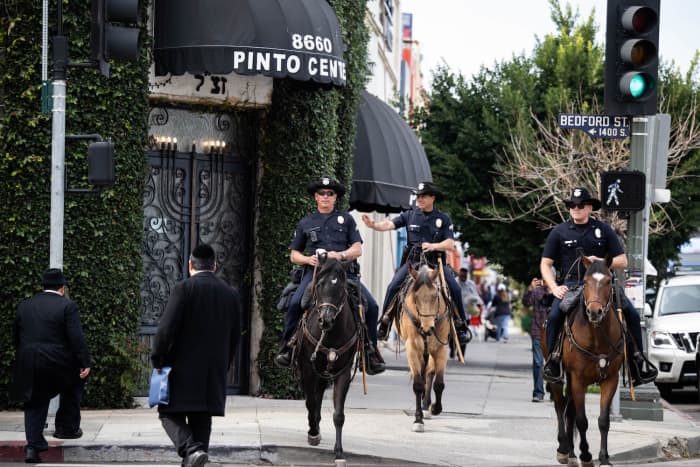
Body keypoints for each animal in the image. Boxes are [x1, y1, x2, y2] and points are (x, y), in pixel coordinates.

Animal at [296, 254, 360, 466]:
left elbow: (338, 414)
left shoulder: (343, 372)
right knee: (313, 398)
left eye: (341, 287)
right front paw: (313, 433)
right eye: (319, 284)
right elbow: (310, 401)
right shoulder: (307, 368)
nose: (326, 320)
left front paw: (339, 451)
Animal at [396, 266, 452, 434]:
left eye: (435, 296)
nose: (427, 328)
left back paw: (427, 406)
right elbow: (418, 384)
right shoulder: (412, 349)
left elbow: (439, 383)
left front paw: (435, 408)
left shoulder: (441, 349)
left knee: (429, 373)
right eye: (416, 297)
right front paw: (418, 420)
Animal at [544, 260, 628, 467]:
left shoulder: (611, 379)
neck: (597, 336)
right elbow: (582, 420)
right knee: (560, 406)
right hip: (557, 377)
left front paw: (604, 458)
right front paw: (587, 455)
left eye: (608, 281)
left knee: (570, 410)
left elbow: (603, 420)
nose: (594, 312)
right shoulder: (578, 379)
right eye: (585, 281)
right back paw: (563, 449)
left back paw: (571, 453)